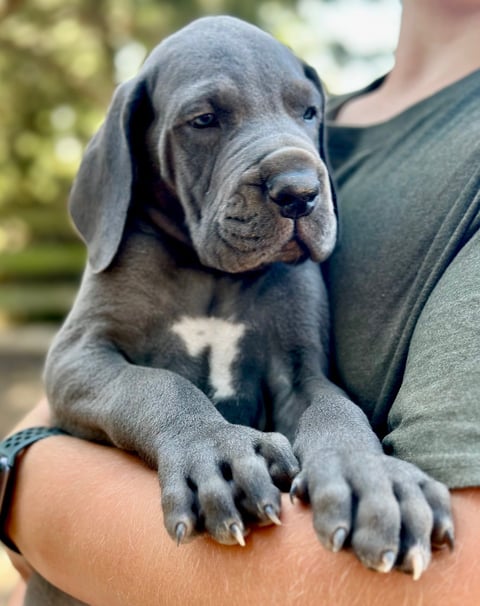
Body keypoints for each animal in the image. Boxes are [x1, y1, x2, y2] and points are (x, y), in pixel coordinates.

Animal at [35, 16, 452, 604]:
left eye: (309, 112)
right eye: (204, 120)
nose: (299, 191)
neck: (208, 272)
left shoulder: (300, 371)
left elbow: (337, 410)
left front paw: (372, 474)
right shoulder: (78, 355)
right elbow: (155, 384)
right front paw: (215, 450)